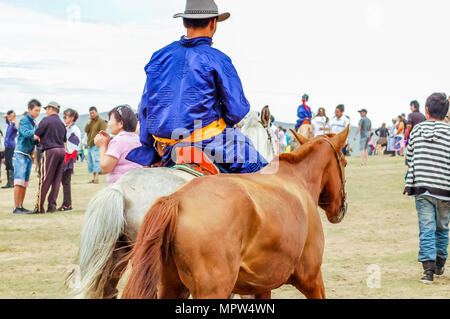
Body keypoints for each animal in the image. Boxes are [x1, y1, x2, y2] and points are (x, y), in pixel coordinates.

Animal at [121, 126, 350, 298]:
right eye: (345, 162)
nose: (342, 208)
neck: (297, 179)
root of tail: (177, 200)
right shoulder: (312, 279)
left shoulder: (262, 286)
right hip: (212, 291)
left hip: (171, 287)